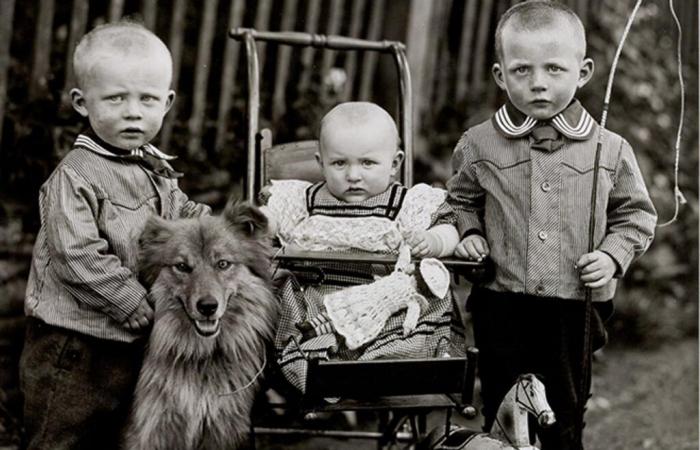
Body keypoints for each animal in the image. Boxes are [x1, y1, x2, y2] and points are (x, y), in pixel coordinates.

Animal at [123, 202, 278, 450]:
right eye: (182, 266)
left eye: (223, 264)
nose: (207, 307)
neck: (201, 357)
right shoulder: (148, 430)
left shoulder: (220, 430)